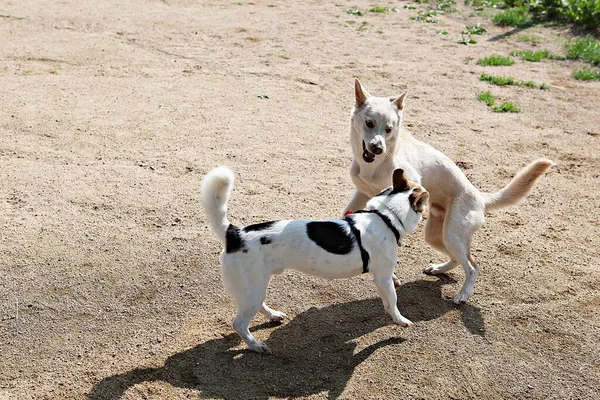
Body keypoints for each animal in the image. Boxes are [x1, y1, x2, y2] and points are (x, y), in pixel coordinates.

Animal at [204, 166, 428, 354]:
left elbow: (388, 301)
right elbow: (393, 301)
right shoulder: (383, 278)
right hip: (253, 288)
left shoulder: (382, 278)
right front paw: (400, 320)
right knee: (239, 323)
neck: (384, 216)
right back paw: (256, 345)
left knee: (256, 306)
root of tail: (234, 233)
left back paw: (273, 315)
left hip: (255, 287)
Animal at [344, 79, 556, 304]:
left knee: (473, 266)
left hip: (453, 235)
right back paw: (438, 269)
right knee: (457, 259)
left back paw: (463, 295)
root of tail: (480, 197)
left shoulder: (411, 181)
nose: (378, 148)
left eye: (389, 129)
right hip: (437, 235)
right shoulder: (362, 193)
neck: (375, 165)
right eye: (369, 123)